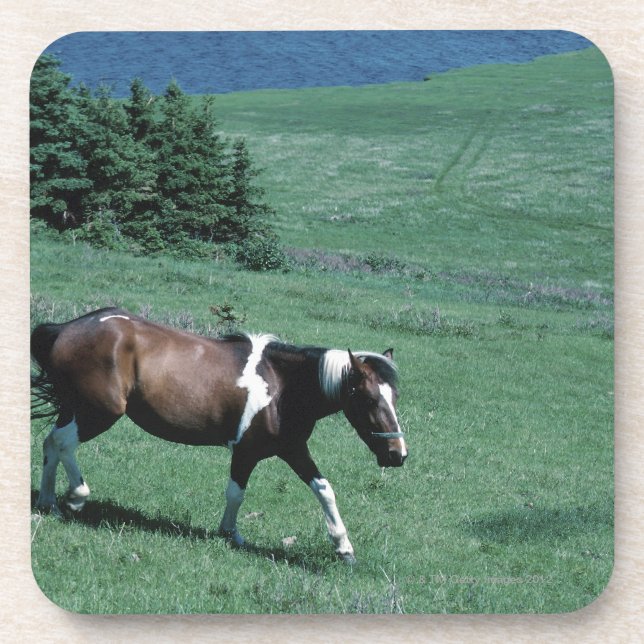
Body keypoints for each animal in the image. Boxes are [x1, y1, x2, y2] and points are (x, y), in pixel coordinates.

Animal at [31, 307, 407, 563]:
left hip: (76, 408)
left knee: (51, 443)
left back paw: (49, 503)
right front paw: (230, 533)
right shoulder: (246, 450)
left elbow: (324, 489)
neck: (282, 387)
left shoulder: (292, 448)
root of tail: (67, 328)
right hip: (99, 412)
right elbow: (236, 493)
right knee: (64, 444)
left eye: (395, 397)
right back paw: (76, 497)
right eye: (368, 399)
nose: (397, 454)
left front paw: (344, 548)